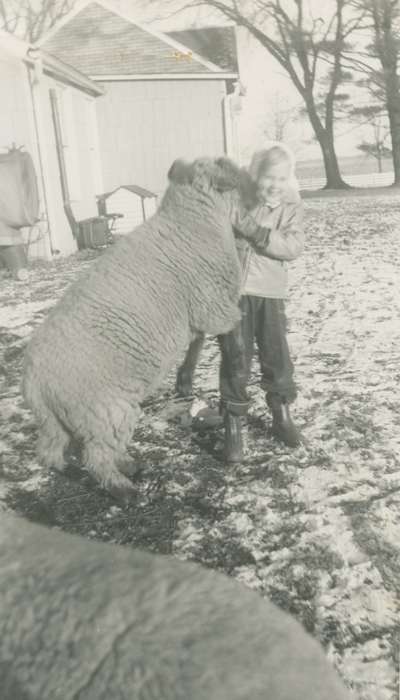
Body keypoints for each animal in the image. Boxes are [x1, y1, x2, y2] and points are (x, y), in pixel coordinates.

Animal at [23, 157, 264, 500]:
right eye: (230, 174)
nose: (262, 196)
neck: (192, 219)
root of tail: (34, 382)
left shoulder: (199, 311)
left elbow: (196, 343)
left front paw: (185, 380)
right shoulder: (213, 305)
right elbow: (228, 329)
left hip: (54, 420)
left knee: (52, 452)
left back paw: (106, 468)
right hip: (106, 410)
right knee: (96, 455)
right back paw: (124, 488)